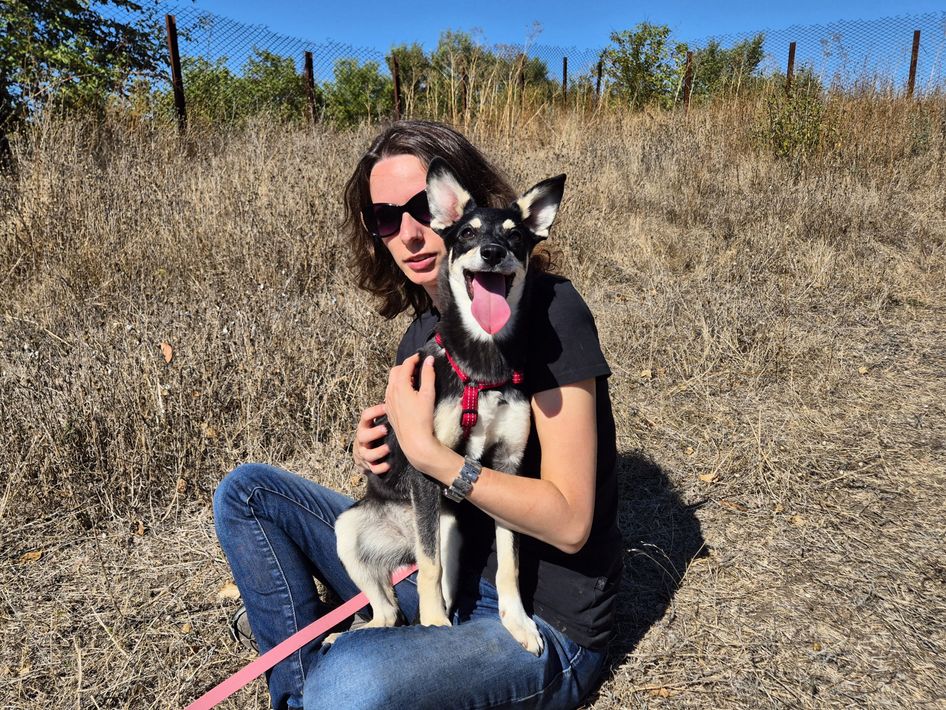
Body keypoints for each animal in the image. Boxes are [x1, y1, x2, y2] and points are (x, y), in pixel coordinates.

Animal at [333, 157, 565, 655]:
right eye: (467, 233)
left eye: (516, 236)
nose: (492, 253)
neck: (482, 365)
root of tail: (403, 534)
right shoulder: (425, 468)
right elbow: (430, 567)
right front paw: (435, 623)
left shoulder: (510, 464)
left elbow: (509, 564)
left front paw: (517, 622)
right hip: (352, 531)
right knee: (394, 600)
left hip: (450, 529)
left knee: (410, 595)